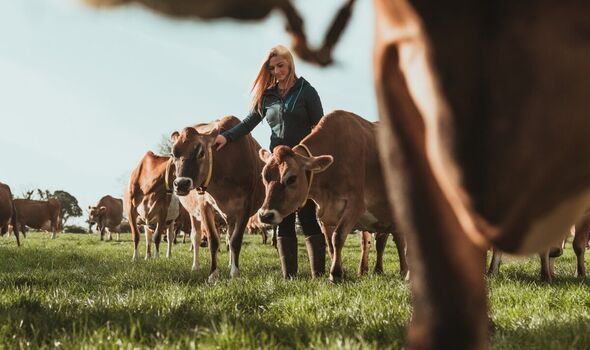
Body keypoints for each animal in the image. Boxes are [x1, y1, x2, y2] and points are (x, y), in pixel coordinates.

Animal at [170, 116, 264, 280]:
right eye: (173, 154)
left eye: (201, 152)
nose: (181, 184)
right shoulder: (204, 205)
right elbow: (213, 240)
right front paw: (213, 274)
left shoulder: (245, 206)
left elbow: (235, 240)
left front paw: (235, 272)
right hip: (193, 213)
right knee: (196, 236)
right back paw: (195, 266)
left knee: (229, 237)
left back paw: (230, 265)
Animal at [260, 110, 412, 280]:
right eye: (264, 176)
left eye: (291, 178)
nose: (265, 215)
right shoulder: (324, 214)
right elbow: (330, 244)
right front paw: (340, 273)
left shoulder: (355, 205)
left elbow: (338, 237)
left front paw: (336, 274)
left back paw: (406, 273)